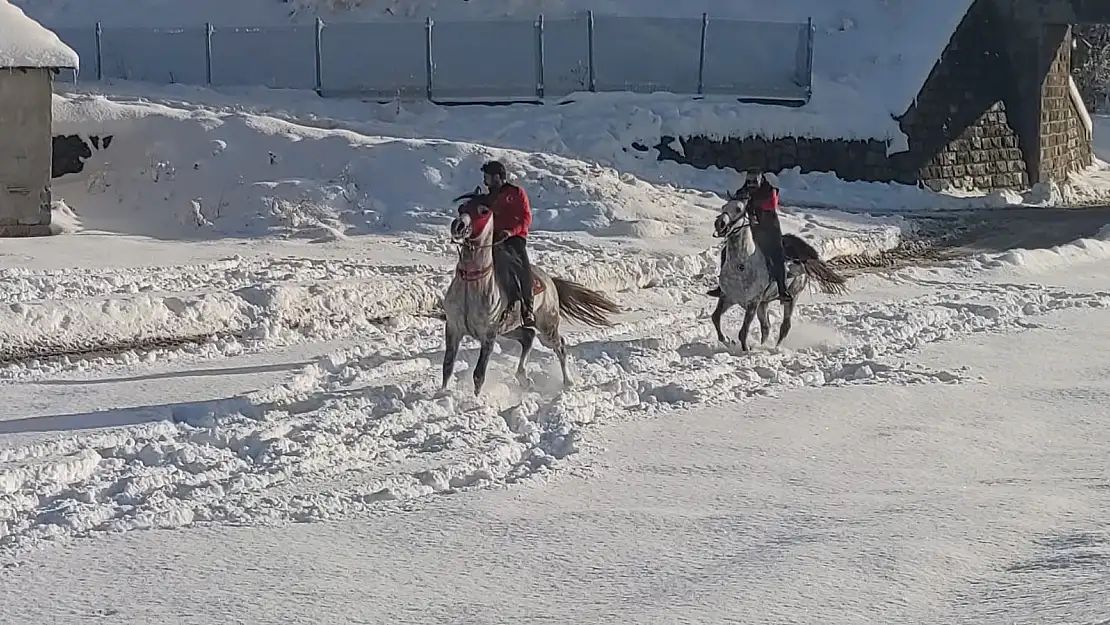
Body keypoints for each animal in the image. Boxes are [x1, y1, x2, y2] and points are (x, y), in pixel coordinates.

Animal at [441, 188, 621, 399]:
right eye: (462, 207)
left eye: (483, 211)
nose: (458, 226)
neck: (473, 285)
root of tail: (550, 281)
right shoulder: (453, 329)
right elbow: (447, 366)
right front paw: (441, 394)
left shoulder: (489, 335)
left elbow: (479, 374)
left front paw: (476, 401)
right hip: (510, 329)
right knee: (528, 337)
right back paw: (523, 378)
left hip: (547, 328)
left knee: (559, 345)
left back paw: (568, 382)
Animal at [710, 194, 848, 353]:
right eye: (724, 207)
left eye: (739, 208)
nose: (719, 223)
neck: (741, 265)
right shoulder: (728, 297)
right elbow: (715, 318)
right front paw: (728, 340)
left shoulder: (753, 302)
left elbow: (743, 332)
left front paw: (746, 350)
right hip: (764, 304)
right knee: (766, 327)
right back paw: (763, 345)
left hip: (792, 297)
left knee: (785, 326)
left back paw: (775, 348)